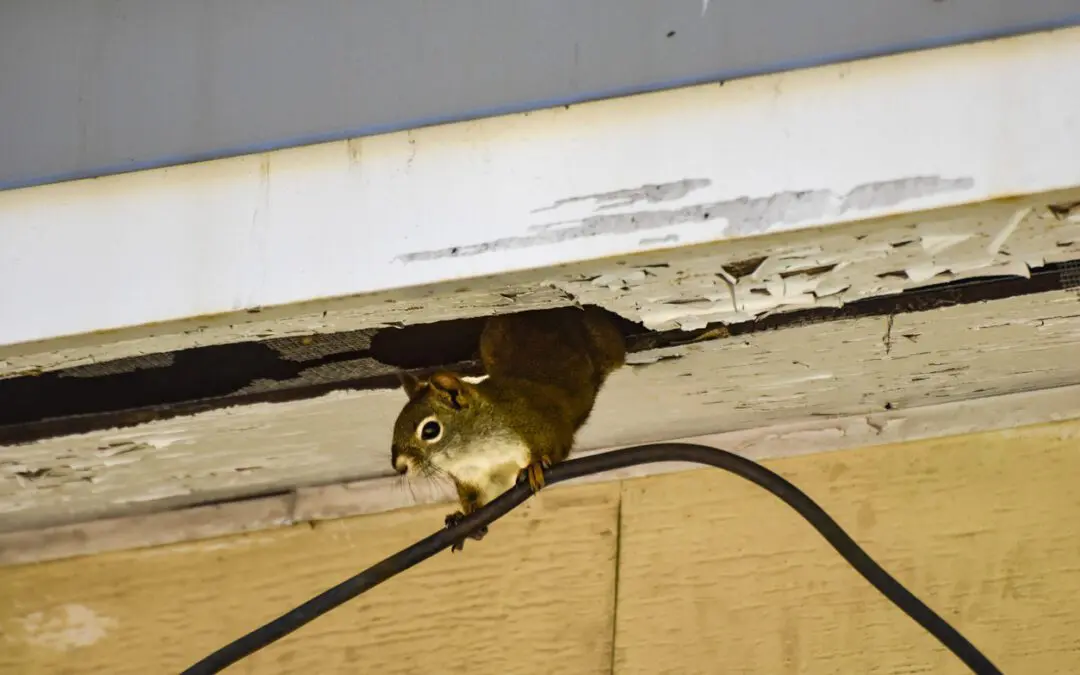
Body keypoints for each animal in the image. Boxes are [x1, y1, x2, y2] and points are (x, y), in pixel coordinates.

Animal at [390, 305, 625, 551]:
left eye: (430, 430)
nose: (400, 467)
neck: (471, 452)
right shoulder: (476, 477)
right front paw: (463, 518)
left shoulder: (535, 421)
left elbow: (557, 444)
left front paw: (535, 466)